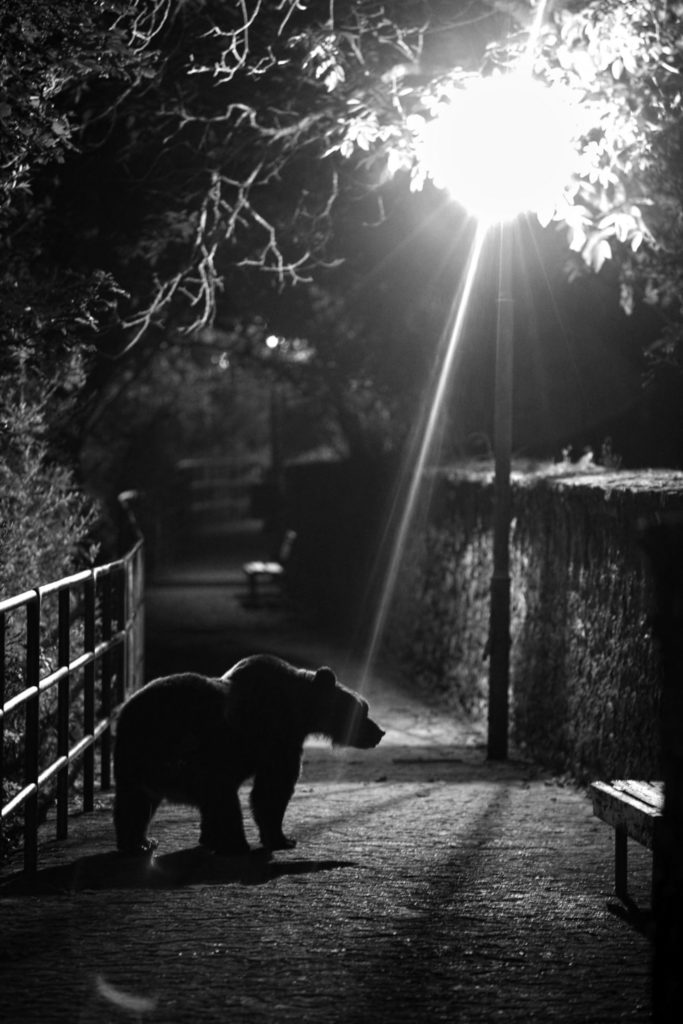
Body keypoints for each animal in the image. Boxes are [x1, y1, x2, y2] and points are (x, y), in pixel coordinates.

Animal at [112, 655, 385, 856]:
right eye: (363, 710)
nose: (379, 732)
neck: (299, 711)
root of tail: (125, 709)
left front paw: (209, 837)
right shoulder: (277, 740)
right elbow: (272, 790)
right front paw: (282, 838)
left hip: (137, 757)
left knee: (135, 802)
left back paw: (141, 841)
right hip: (179, 751)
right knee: (221, 798)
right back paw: (236, 843)